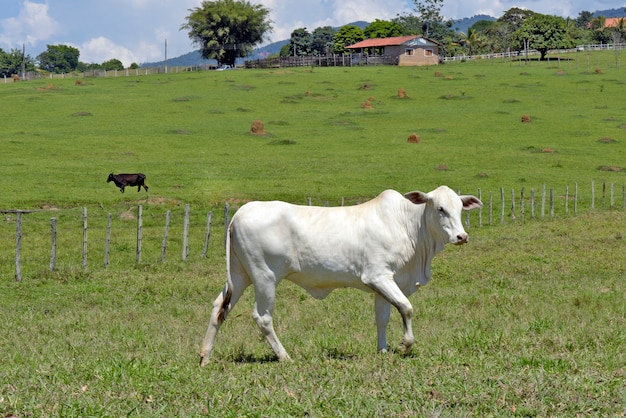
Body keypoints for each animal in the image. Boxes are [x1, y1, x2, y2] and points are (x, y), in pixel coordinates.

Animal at [197, 185, 480, 364]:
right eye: (440, 208)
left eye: (459, 208)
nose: (461, 236)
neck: (408, 225)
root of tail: (239, 213)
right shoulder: (378, 276)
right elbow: (407, 308)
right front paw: (405, 346)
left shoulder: (386, 283)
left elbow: (383, 318)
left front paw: (383, 351)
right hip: (264, 277)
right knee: (262, 317)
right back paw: (285, 357)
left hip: (240, 276)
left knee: (219, 307)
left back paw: (205, 356)